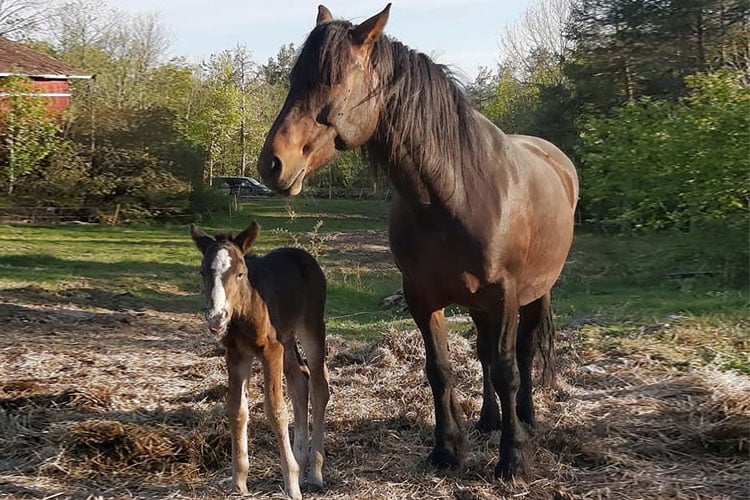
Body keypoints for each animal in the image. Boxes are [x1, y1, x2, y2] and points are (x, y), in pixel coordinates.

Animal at [191, 223, 328, 500]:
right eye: (202, 272)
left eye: (240, 273)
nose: (216, 317)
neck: (243, 310)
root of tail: (304, 256)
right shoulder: (236, 355)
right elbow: (237, 410)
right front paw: (238, 482)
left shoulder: (270, 350)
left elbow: (276, 410)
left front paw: (292, 484)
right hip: (286, 337)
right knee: (300, 380)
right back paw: (301, 461)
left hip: (311, 326)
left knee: (319, 387)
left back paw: (314, 474)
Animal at [258, 3, 580, 480]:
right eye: (295, 80)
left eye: (334, 80)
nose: (273, 163)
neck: (454, 194)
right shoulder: (422, 297)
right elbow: (440, 369)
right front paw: (447, 450)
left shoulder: (504, 295)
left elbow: (507, 370)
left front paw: (513, 457)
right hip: (478, 303)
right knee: (484, 354)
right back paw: (489, 420)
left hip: (535, 293)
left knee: (522, 353)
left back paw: (525, 419)